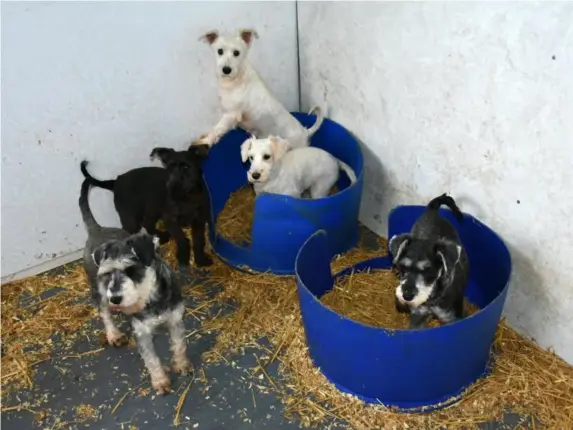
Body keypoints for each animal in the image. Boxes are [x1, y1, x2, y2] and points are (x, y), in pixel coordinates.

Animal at [79, 180, 191, 394]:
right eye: (107, 274)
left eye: (131, 270)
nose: (116, 299)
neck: (150, 300)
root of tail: (97, 229)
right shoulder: (142, 332)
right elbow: (151, 359)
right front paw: (160, 381)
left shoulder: (175, 319)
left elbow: (179, 344)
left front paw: (181, 365)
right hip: (100, 294)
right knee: (104, 314)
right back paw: (114, 335)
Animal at [80, 144, 212, 278]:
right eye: (169, 170)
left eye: (186, 167)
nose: (171, 189)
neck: (187, 199)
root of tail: (116, 181)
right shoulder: (171, 220)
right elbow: (182, 240)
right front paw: (183, 257)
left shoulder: (199, 220)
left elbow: (199, 240)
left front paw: (201, 260)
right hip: (131, 218)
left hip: (152, 209)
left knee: (147, 223)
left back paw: (162, 236)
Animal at [194, 28, 324, 149]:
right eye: (220, 51)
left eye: (236, 53)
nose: (226, 70)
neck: (237, 79)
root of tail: (305, 131)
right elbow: (216, 129)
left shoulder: (230, 115)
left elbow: (217, 128)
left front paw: (205, 141)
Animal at [388, 194, 470, 330]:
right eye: (402, 267)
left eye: (428, 270)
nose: (407, 296)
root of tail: (433, 210)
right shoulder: (418, 316)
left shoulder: (453, 319)